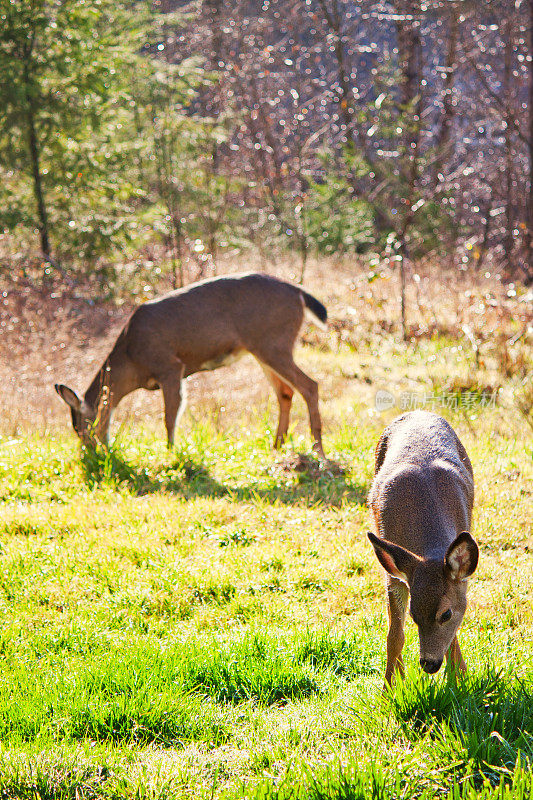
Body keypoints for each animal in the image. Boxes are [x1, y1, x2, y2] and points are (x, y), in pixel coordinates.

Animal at [56, 272, 326, 456]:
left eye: (82, 428)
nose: (91, 454)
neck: (130, 359)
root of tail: (299, 293)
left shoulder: (170, 366)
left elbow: (170, 416)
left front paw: (170, 453)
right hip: (263, 349)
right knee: (286, 392)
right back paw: (277, 446)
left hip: (274, 343)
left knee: (310, 386)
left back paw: (318, 452)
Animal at [366, 412, 478, 688]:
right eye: (414, 614)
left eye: (446, 613)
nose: (429, 664)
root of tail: (418, 412)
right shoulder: (395, 573)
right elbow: (395, 634)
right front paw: (390, 687)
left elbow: (454, 632)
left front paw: (459, 678)